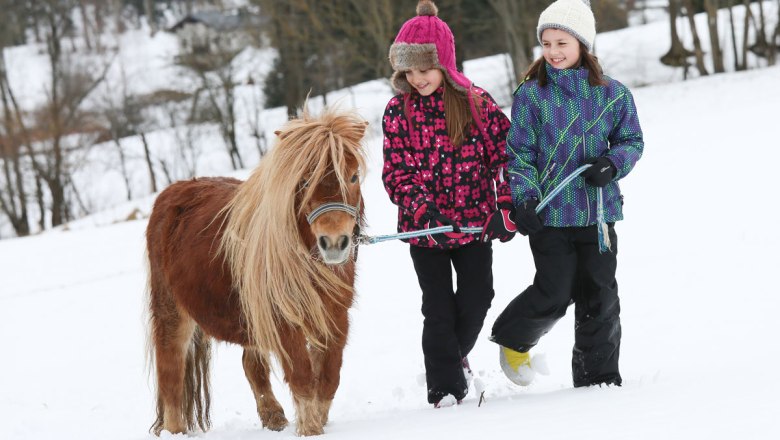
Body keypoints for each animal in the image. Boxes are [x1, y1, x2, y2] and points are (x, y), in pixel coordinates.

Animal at [145, 108, 368, 437]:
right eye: (303, 182)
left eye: (353, 176)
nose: (334, 243)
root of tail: (172, 192)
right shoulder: (284, 321)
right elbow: (303, 378)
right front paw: (310, 430)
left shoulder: (335, 317)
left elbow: (327, 378)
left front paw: (318, 421)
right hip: (172, 313)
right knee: (171, 374)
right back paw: (177, 431)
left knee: (252, 365)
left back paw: (273, 417)